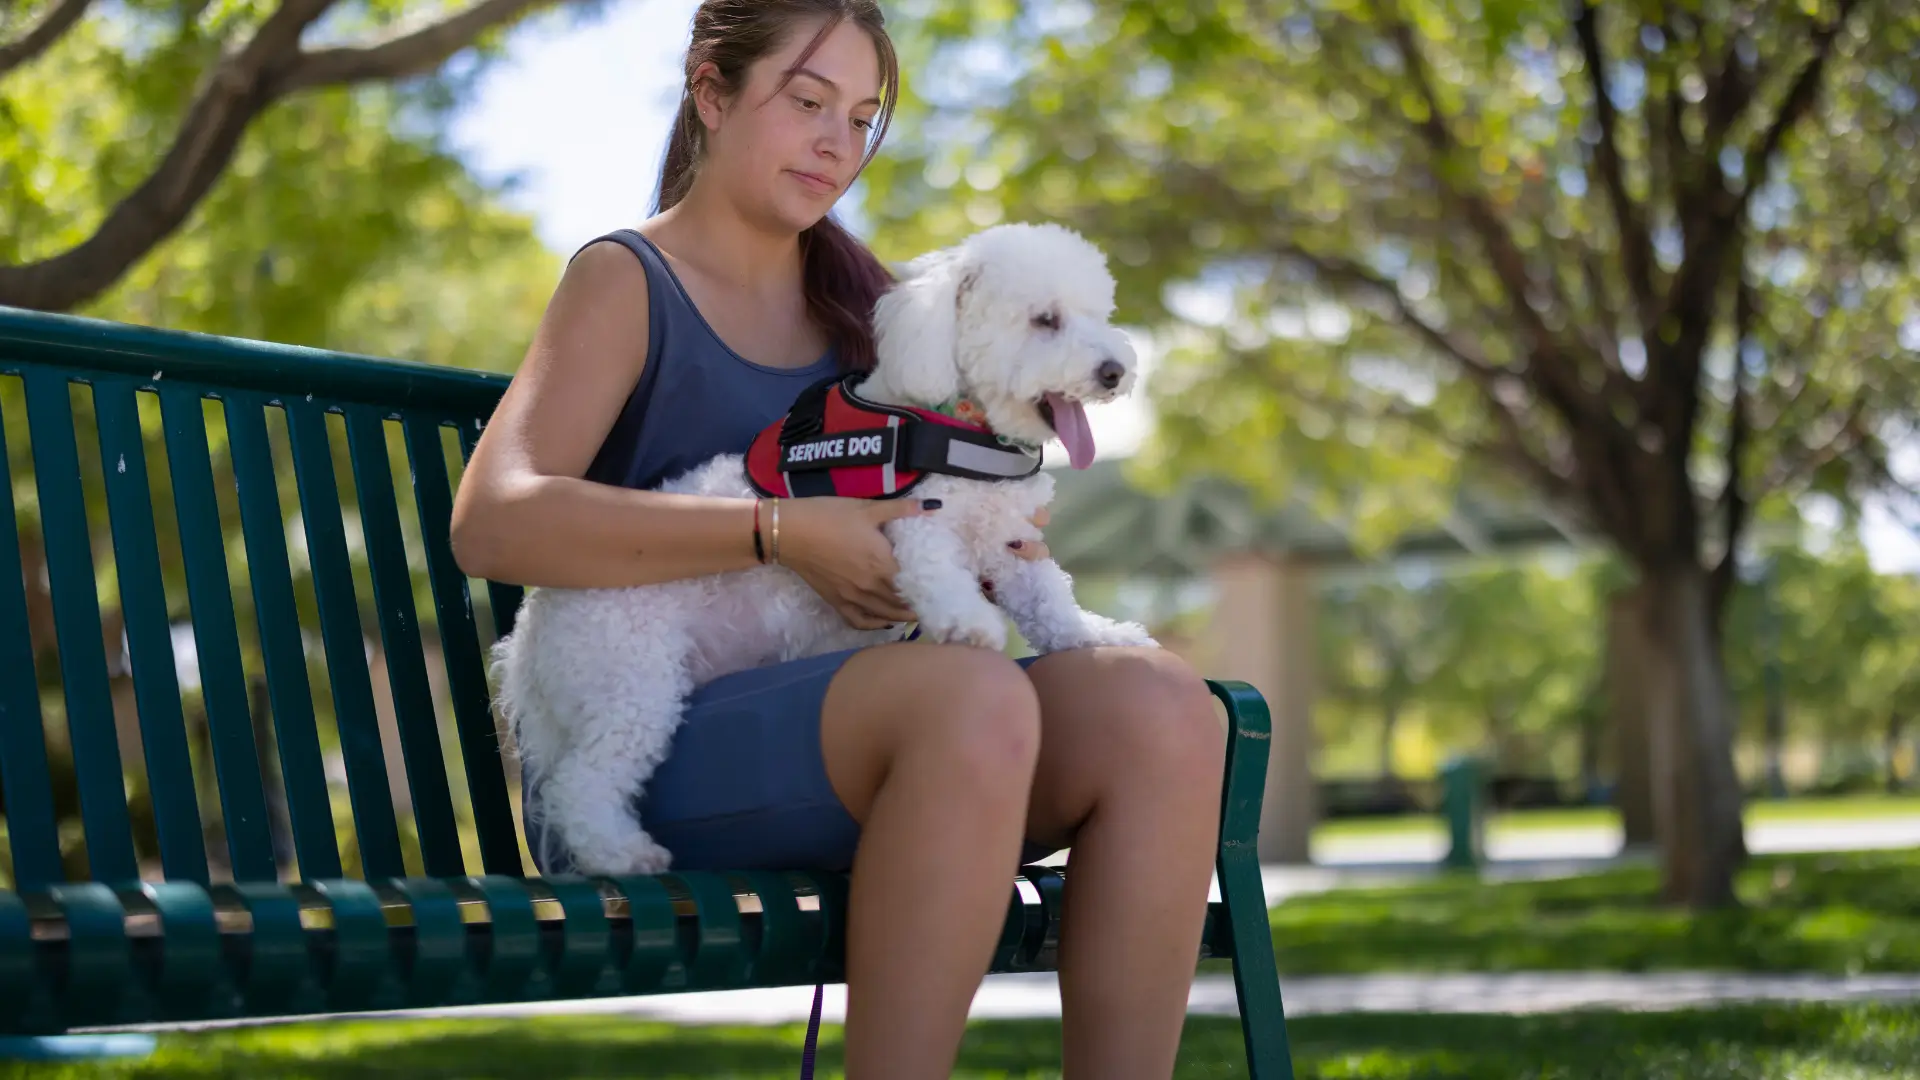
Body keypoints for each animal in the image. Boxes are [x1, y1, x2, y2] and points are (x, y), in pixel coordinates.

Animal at [491, 222, 1152, 868]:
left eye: (1099, 314)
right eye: (1045, 320)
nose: (1114, 371)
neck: (957, 425)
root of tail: (529, 633)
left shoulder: (1010, 545)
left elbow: (1051, 601)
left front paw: (1100, 634)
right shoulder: (916, 521)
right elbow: (938, 572)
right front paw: (969, 623)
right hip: (630, 678)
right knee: (585, 782)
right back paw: (621, 853)